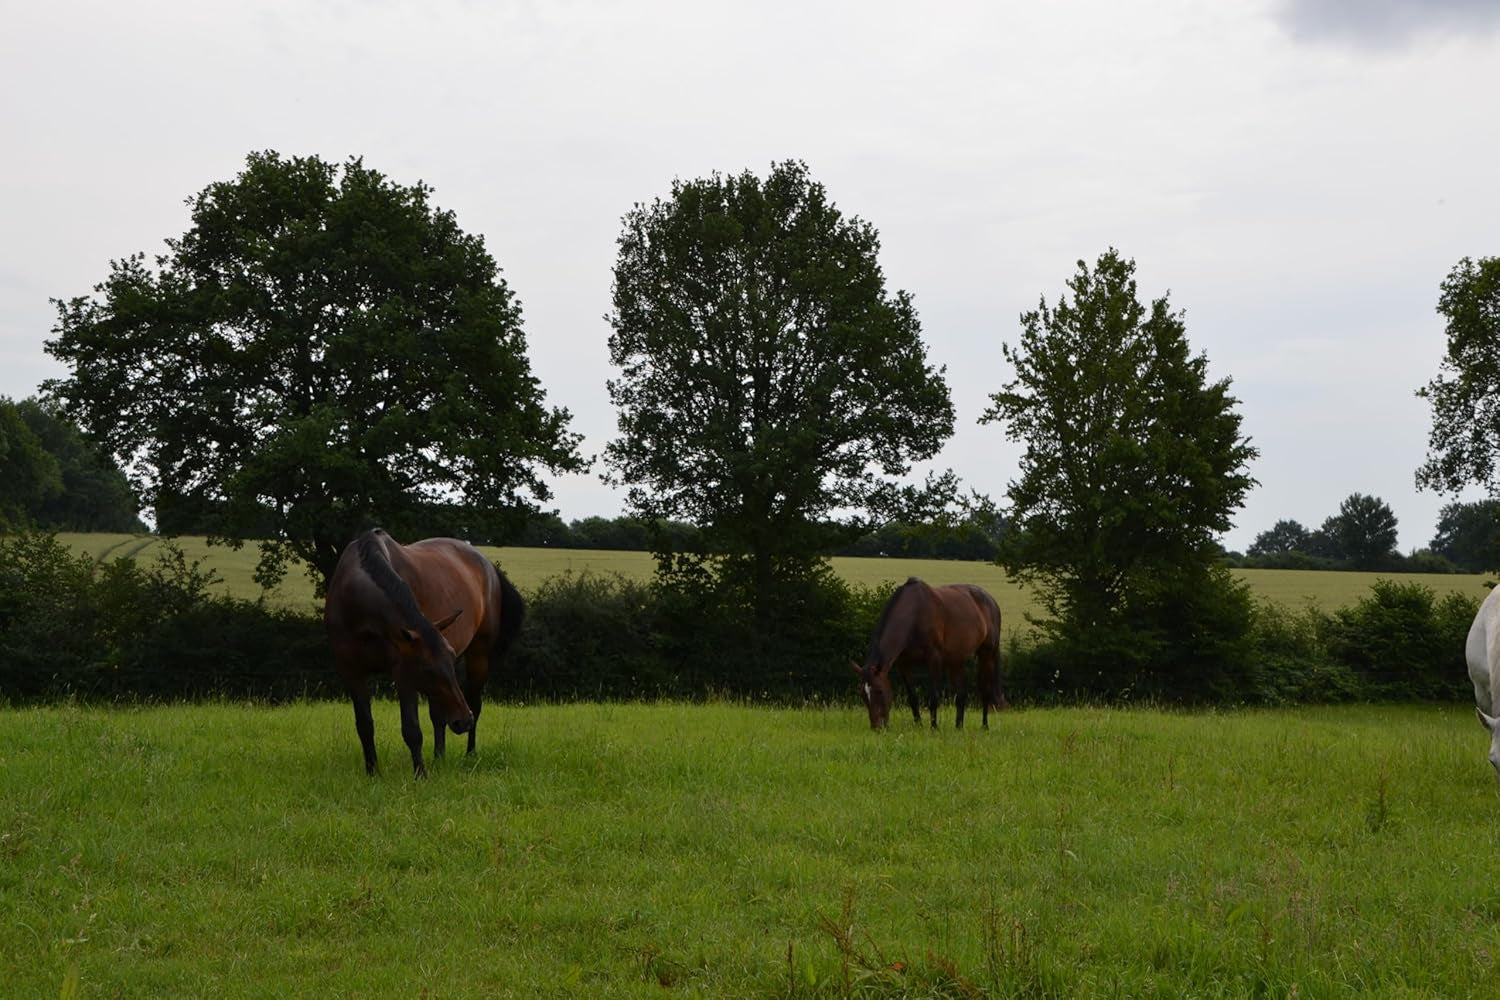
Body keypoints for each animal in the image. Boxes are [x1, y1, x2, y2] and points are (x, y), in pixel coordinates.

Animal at [324, 528, 525, 777]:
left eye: (450, 658)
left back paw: (469, 754)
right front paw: (373, 772)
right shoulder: (352, 672)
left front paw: (420, 774)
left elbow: (411, 729)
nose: (463, 721)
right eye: (426, 668)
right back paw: (440, 757)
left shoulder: (404, 675)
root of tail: (487, 564)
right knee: (439, 715)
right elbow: (364, 725)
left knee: (474, 705)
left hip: (478, 657)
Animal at [849, 577, 1005, 730]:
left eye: (879, 691)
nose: (878, 727)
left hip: (987, 654)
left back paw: (984, 726)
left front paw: (934, 727)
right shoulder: (904, 664)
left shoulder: (934, 659)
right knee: (961, 694)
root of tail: (992, 602)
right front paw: (919, 725)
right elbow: (912, 697)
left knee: (985, 691)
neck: (915, 615)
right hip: (956, 661)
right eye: (863, 694)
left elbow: (933, 697)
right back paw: (958, 727)